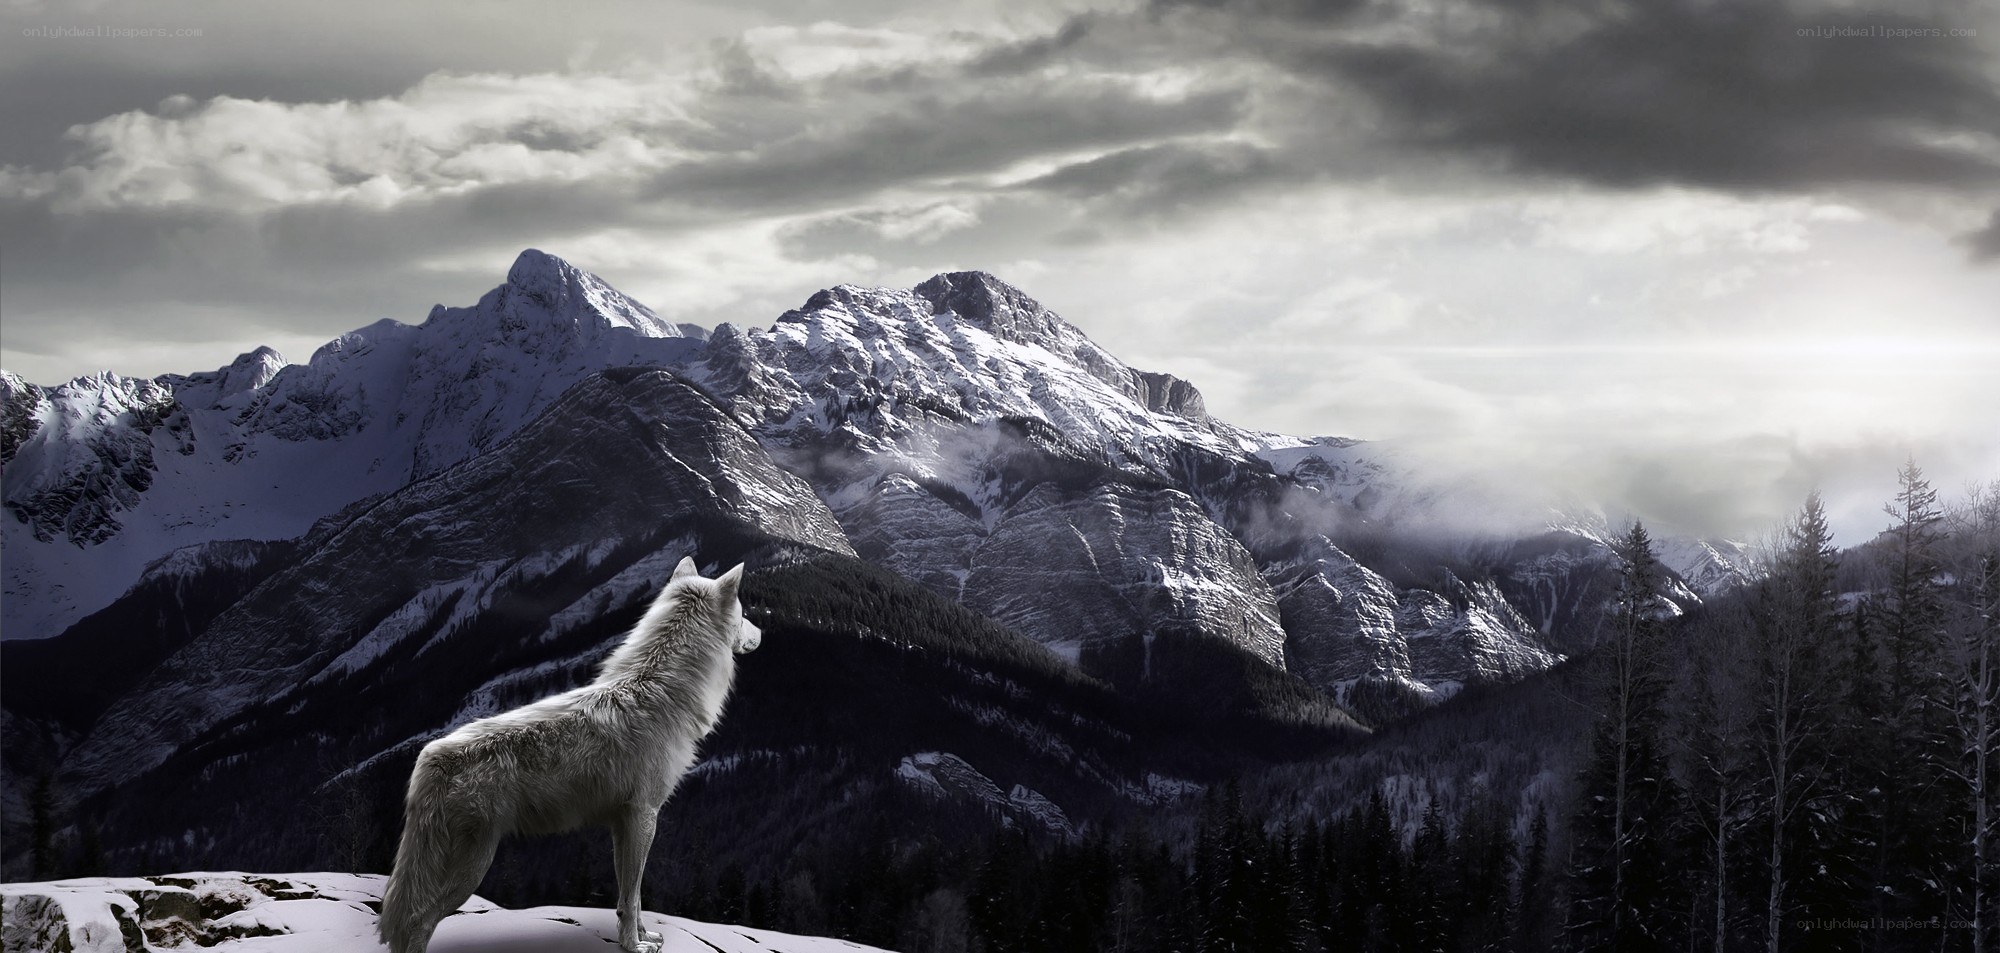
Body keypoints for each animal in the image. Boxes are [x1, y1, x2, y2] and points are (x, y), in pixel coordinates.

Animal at [376, 557, 761, 953]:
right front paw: (634, 946)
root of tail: (431, 756)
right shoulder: (644, 816)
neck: (661, 690)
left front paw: (642, 936)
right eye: (744, 613)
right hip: (472, 868)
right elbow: (633, 895)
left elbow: (631, 896)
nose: (761, 632)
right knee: (417, 922)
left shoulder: (623, 823)